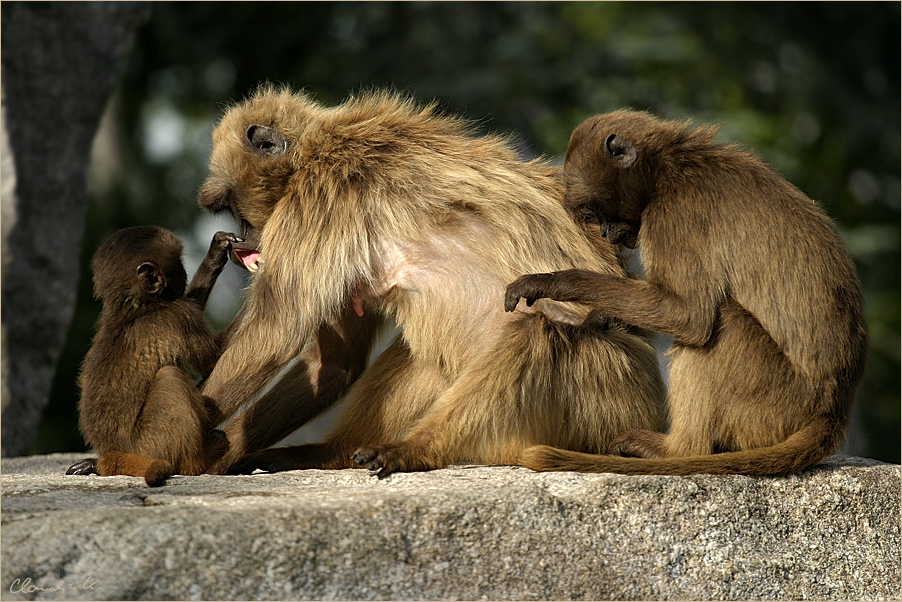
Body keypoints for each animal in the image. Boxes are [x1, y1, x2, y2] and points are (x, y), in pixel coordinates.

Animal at [66, 224, 238, 482]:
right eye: (178, 263)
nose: (184, 270)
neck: (134, 308)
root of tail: (114, 454)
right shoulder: (179, 315)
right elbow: (213, 359)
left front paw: (215, 255)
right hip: (150, 444)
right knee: (169, 377)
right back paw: (198, 461)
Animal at [194, 85, 668, 478]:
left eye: (235, 207)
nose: (244, 242)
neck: (319, 145)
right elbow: (335, 363)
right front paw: (218, 453)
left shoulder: (319, 198)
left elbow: (273, 336)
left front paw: (191, 451)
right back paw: (335, 452)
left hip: (604, 399)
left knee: (538, 327)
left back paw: (416, 450)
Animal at [504, 108, 872, 474]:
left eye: (594, 212)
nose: (607, 234)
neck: (668, 166)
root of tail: (832, 409)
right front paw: (601, 319)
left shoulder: (674, 214)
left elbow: (686, 316)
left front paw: (552, 282)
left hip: (775, 403)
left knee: (724, 323)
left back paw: (676, 451)